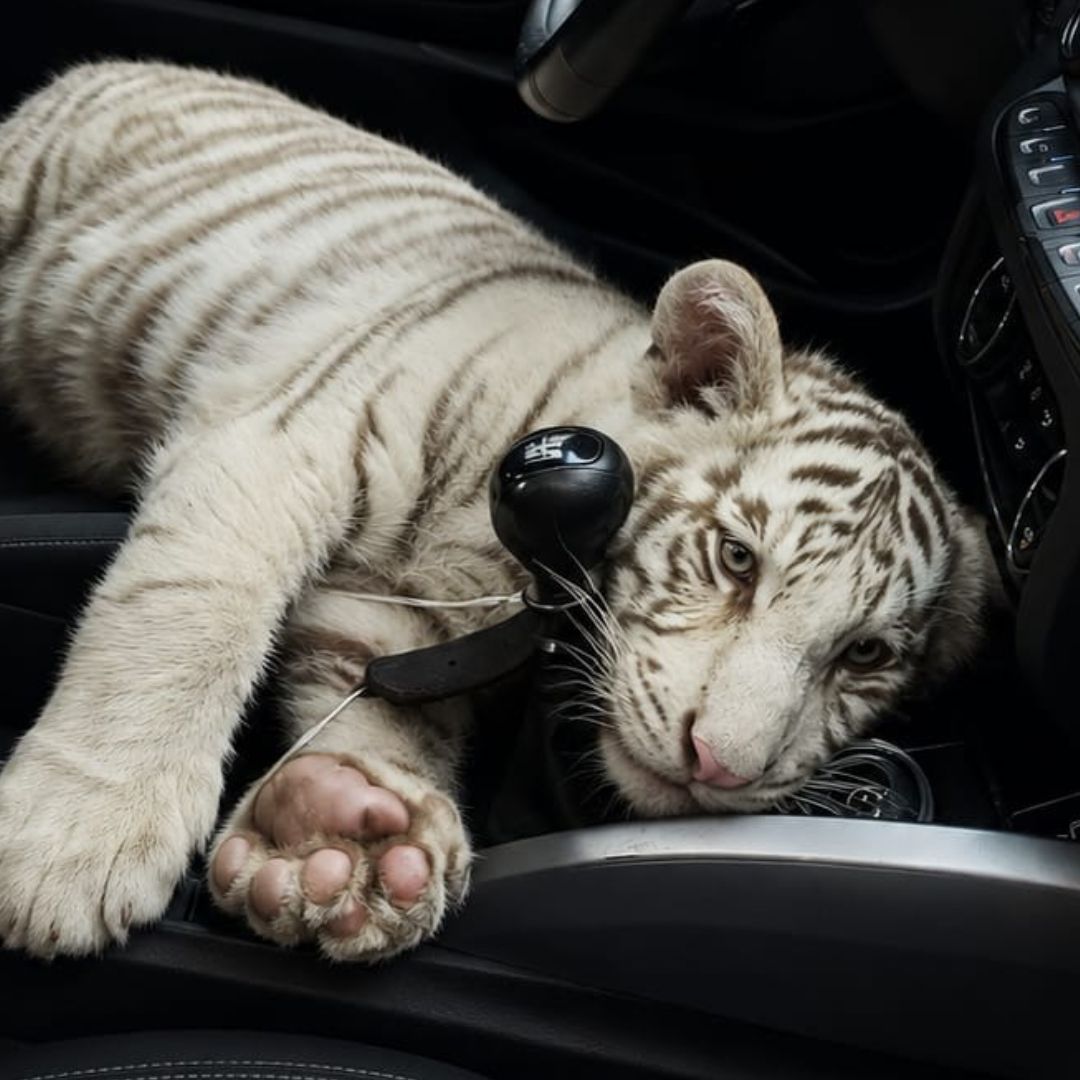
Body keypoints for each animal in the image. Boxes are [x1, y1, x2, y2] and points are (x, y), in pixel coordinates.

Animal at [0, 61, 992, 962]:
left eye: (865, 655)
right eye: (736, 558)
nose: (719, 764)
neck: (503, 560)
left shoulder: (401, 614)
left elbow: (380, 703)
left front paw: (341, 836)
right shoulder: (280, 442)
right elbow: (181, 620)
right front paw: (74, 842)